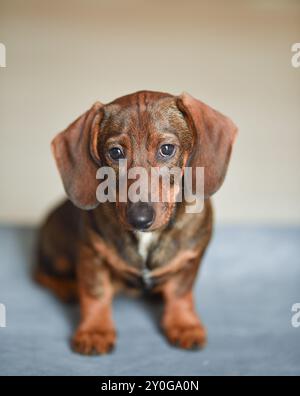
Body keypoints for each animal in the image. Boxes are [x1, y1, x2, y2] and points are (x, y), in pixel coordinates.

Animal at [35, 91, 237, 354]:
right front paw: (94, 331)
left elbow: (180, 293)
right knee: (40, 274)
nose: (139, 218)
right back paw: (67, 288)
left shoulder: (190, 259)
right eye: (116, 153)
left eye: (167, 149)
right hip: (56, 256)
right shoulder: (91, 253)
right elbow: (95, 293)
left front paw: (184, 325)